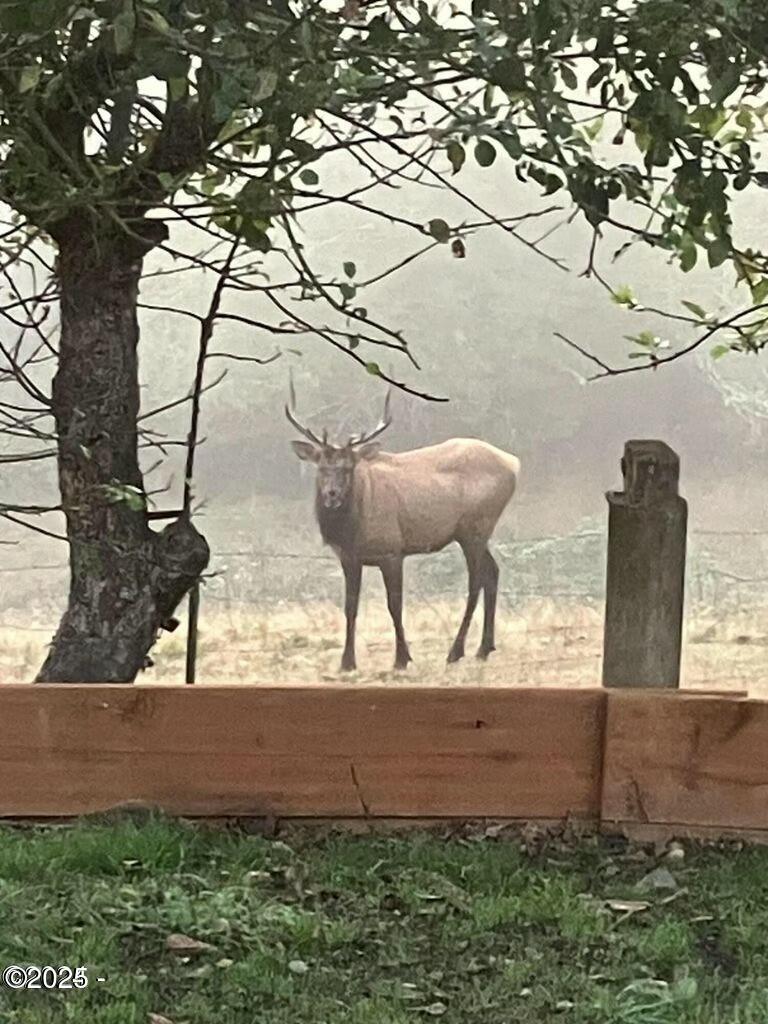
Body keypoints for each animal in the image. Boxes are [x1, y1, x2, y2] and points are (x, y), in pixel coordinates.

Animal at [286, 383, 520, 673]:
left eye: (349, 467)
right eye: (321, 467)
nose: (332, 495)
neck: (353, 529)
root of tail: (514, 464)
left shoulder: (392, 550)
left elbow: (394, 604)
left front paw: (401, 658)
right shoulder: (348, 557)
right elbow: (350, 607)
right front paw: (347, 662)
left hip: (475, 527)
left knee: (476, 580)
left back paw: (456, 651)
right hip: (475, 533)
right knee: (493, 571)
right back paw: (484, 649)